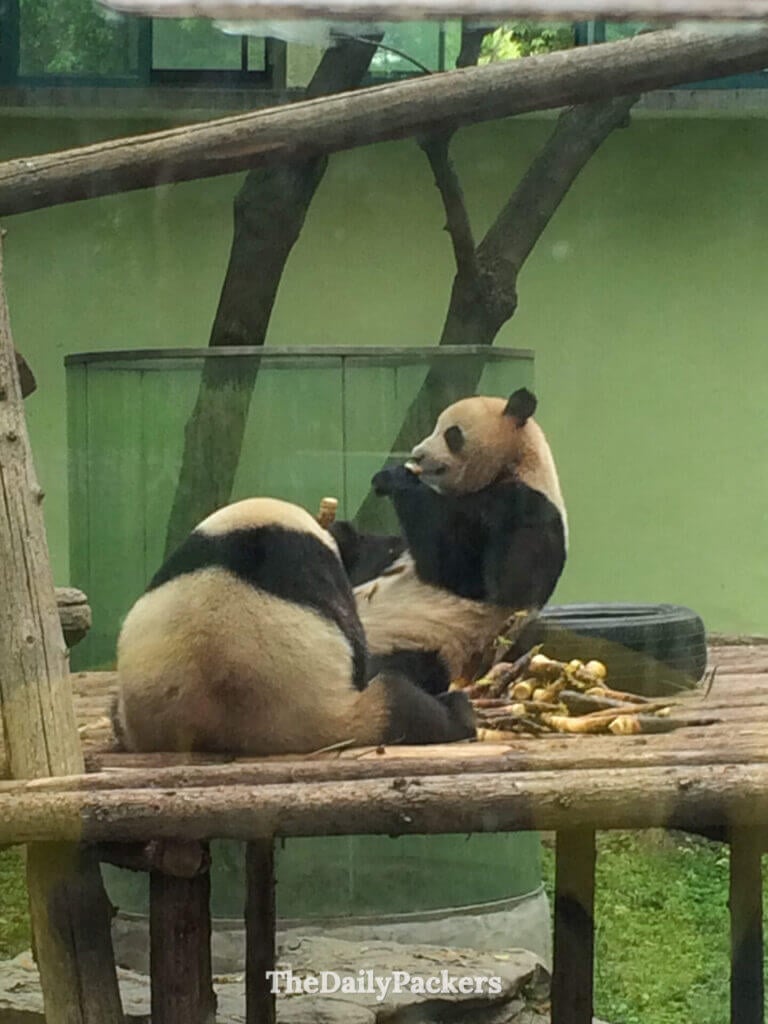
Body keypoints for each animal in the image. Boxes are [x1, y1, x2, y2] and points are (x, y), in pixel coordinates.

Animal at [112, 497, 476, 755]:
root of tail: (217, 730)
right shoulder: (313, 566)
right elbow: (356, 644)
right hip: (336, 716)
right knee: (404, 706)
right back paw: (456, 710)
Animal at [331, 388, 567, 694]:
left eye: (452, 433)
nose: (417, 455)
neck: (515, 466)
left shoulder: (527, 510)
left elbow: (470, 574)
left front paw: (397, 478)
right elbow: (375, 552)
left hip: (429, 644)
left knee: (394, 669)